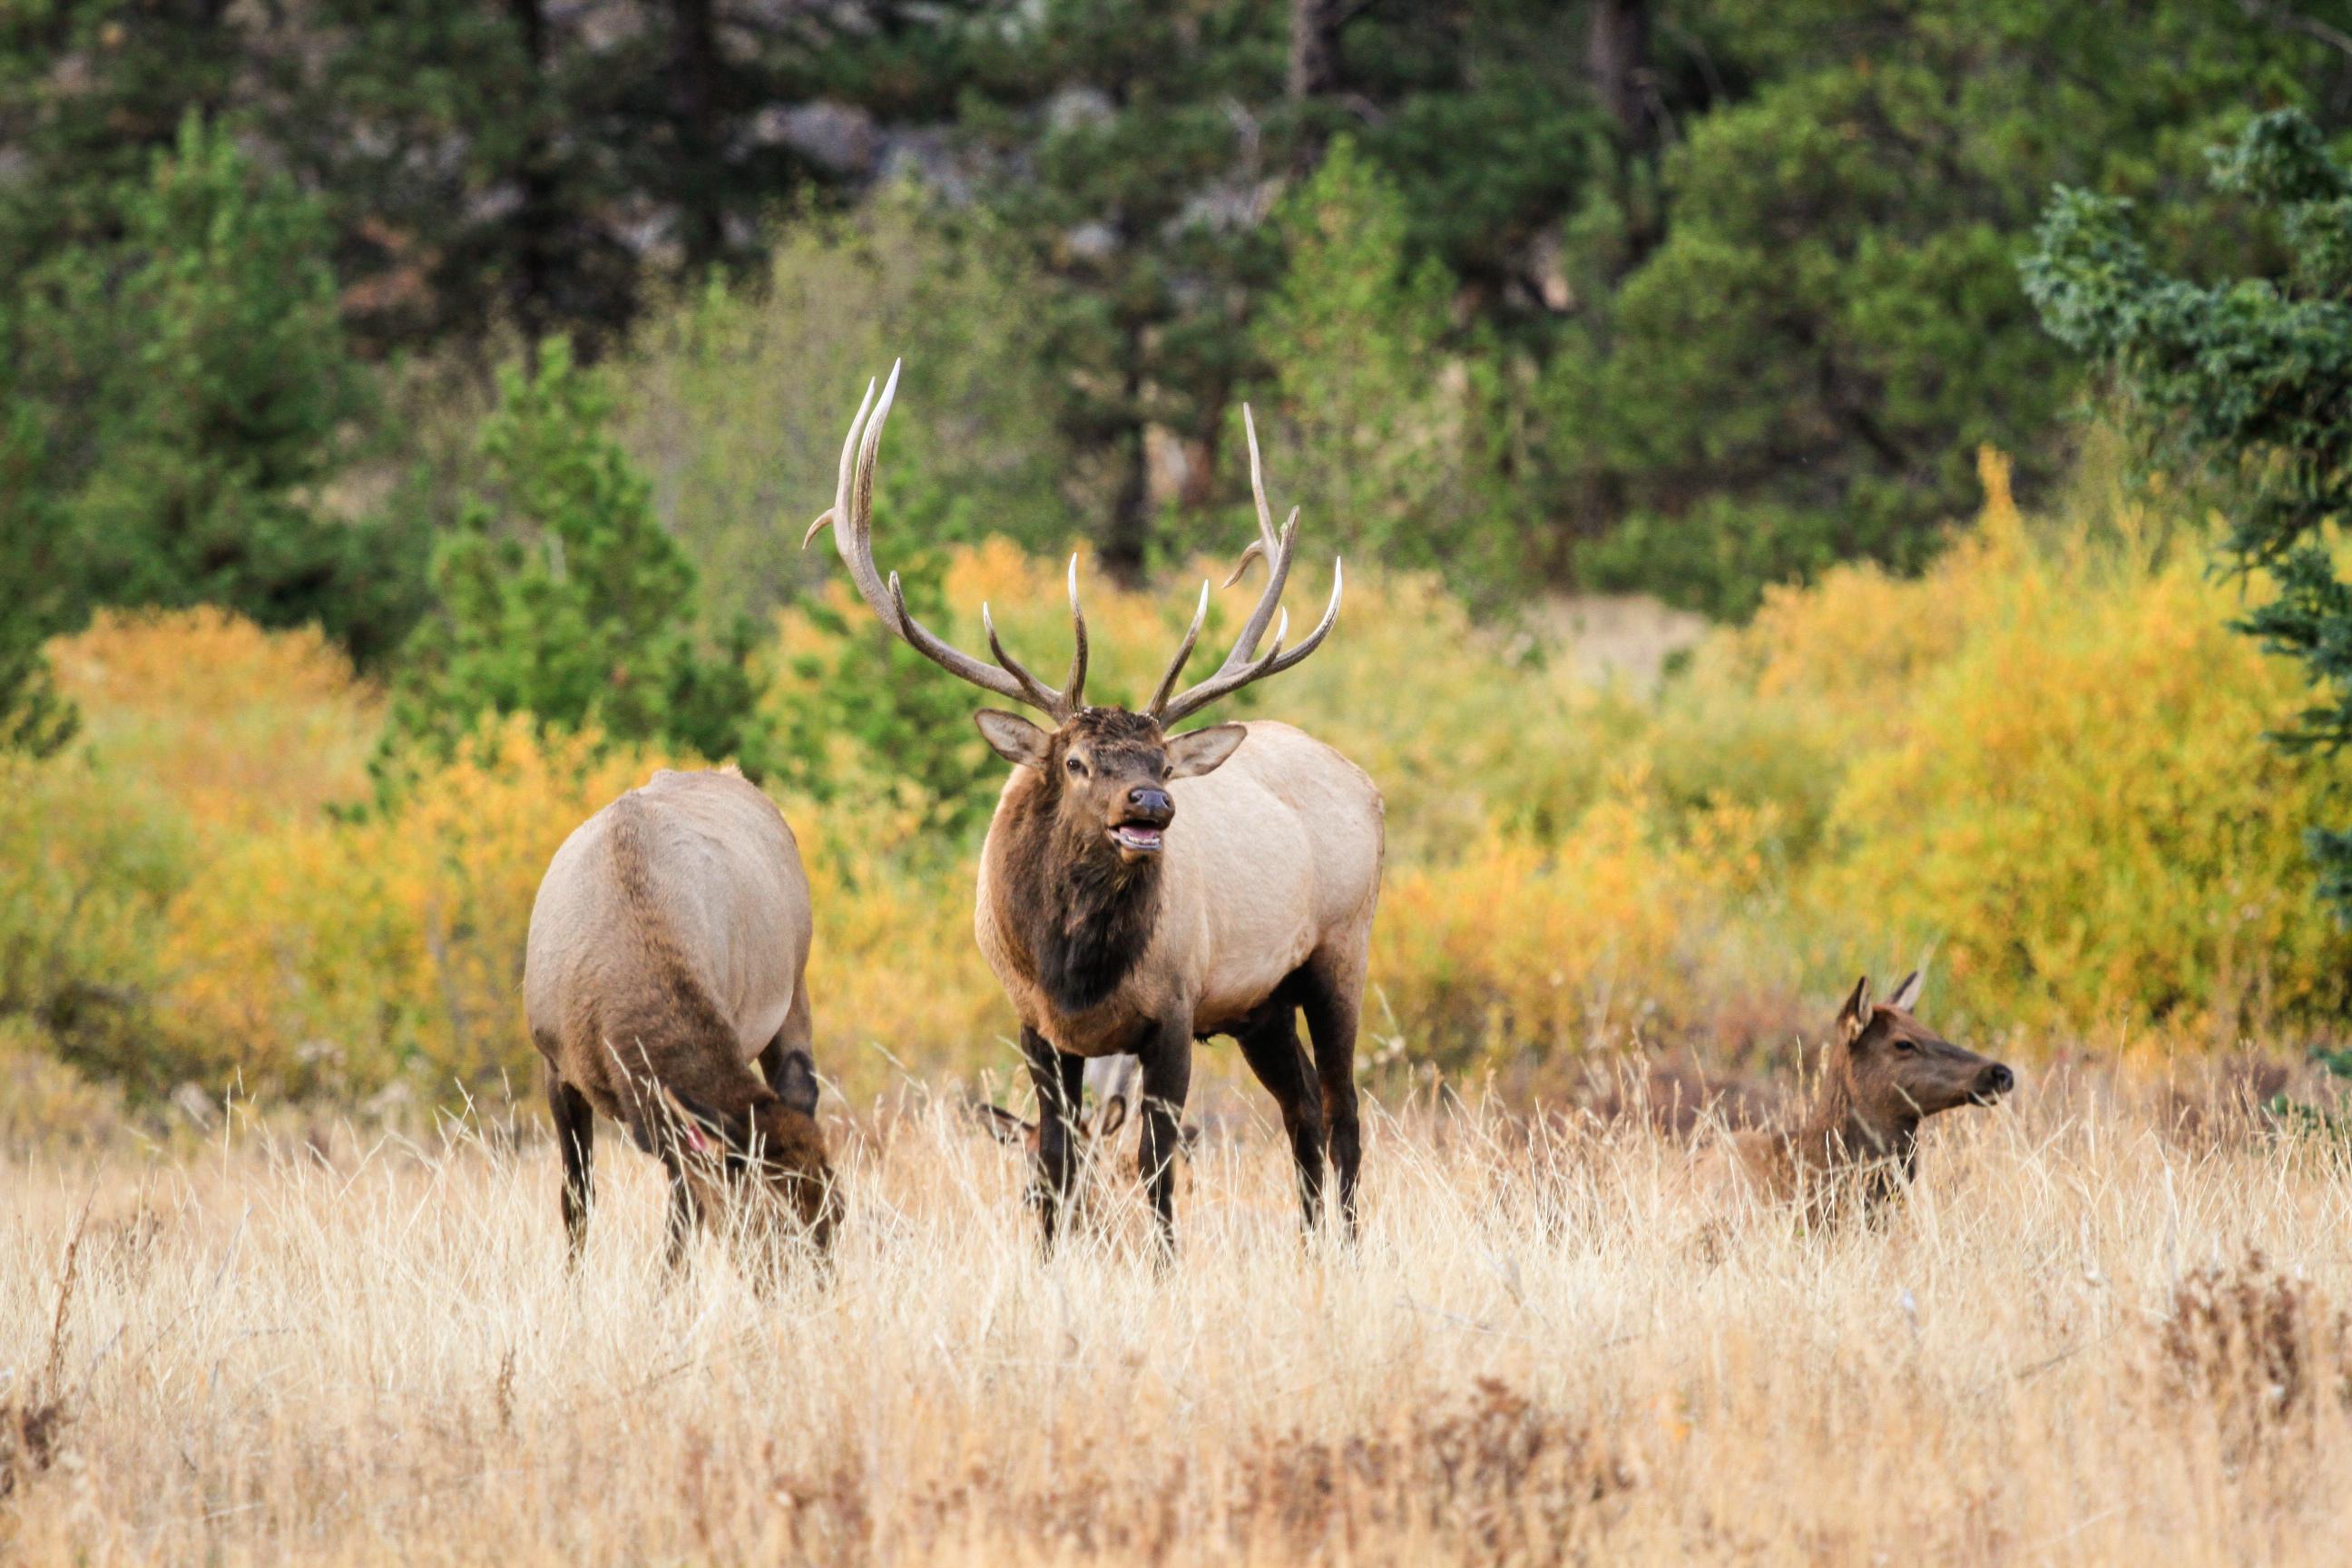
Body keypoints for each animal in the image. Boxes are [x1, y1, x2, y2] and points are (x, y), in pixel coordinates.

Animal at [529, 770, 841, 1279]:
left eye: (837, 1211)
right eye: (770, 1219)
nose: (818, 1290)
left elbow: (683, 1221)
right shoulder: (555, 1066)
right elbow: (577, 1200)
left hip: (794, 988)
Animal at [808, 364, 1373, 1250]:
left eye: (1164, 761)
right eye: (1074, 762)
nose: (1152, 804)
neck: (1074, 970)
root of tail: (1364, 782)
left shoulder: (1174, 1011)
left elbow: (1156, 1165)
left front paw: (1164, 1262)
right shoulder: (1034, 1022)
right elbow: (1054, 1162)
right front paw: (1052, 1256)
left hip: (1340, 951)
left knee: (1344, 1111)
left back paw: (1343, 1247)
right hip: (1261, 1006)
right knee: (1304, 1113)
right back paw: (1312, 1243)